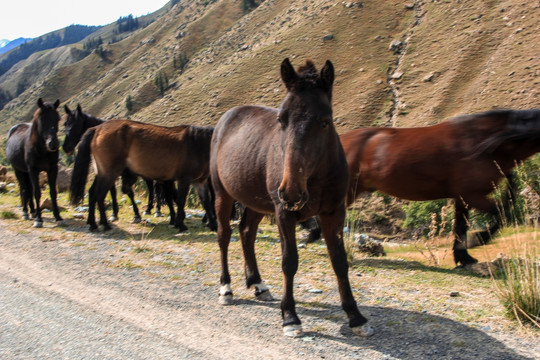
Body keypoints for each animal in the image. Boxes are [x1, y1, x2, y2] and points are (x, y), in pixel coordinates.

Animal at [5, 97, 63, 228]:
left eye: (57, 118)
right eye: (42, 119)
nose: (53, 144)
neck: (41, 149)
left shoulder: (52, 169)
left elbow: (53, 192)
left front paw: (58, 217)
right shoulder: (33, 170)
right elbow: (37, 192)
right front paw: (38, 220)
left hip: (26, 172)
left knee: (28, 189)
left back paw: (32, 211)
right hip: (19, 171)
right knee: (24, 189)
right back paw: (26, 213)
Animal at [70, 118, 217, 231]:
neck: (198, 144)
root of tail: (97, 129)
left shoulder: (200, 181)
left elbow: (206, 201)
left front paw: (213, 225)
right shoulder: (184, 179)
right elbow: (181, 200)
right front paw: (180, 224)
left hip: (102, 172)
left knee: (92, 192)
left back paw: (93, 223)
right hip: (109, 173)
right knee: (99, 194)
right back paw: (105, 224)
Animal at [210, 58, 372, 338]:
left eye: (325, 121)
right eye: (281, 119)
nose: (291, 191)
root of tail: (226, 119)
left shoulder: (333, 212)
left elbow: (339, 261)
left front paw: (355, 316)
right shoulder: (284, 214)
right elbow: (289, 262)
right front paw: (290, 317)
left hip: (256, 202)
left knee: (246, 233)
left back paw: (258, 284)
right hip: (224, 196)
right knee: (224, 236)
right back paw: (226, 288)